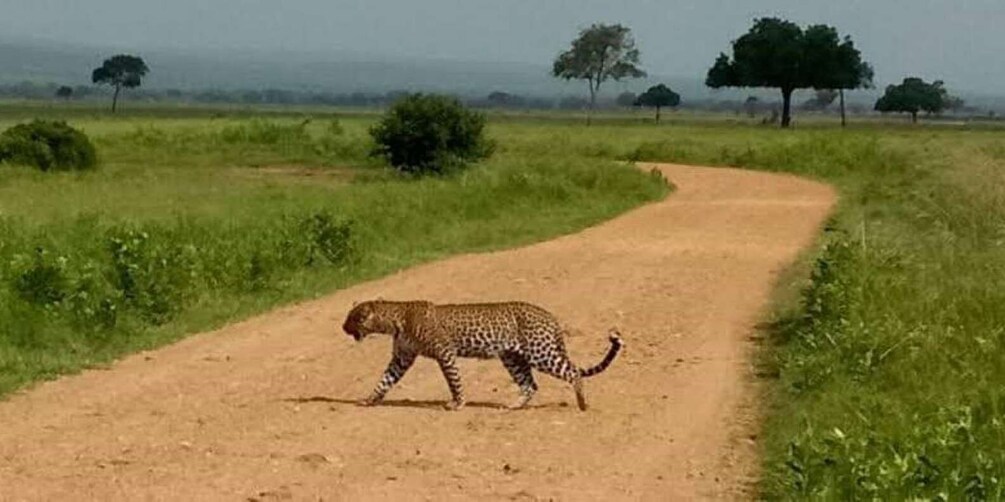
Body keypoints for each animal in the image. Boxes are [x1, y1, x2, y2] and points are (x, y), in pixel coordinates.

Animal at [341, 297, 619, 411]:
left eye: (351, 318)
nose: (342, 328)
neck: (395, 320)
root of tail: (550, 316)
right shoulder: (402, 358)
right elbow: (385, 380)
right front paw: (369, 399)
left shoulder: (445, 353)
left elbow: (454, 381)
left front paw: (457, 403)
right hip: (513, 358)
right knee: (530, 384)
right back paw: (512, 406)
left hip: (540, 352)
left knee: (573, 373)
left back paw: (582, 403)